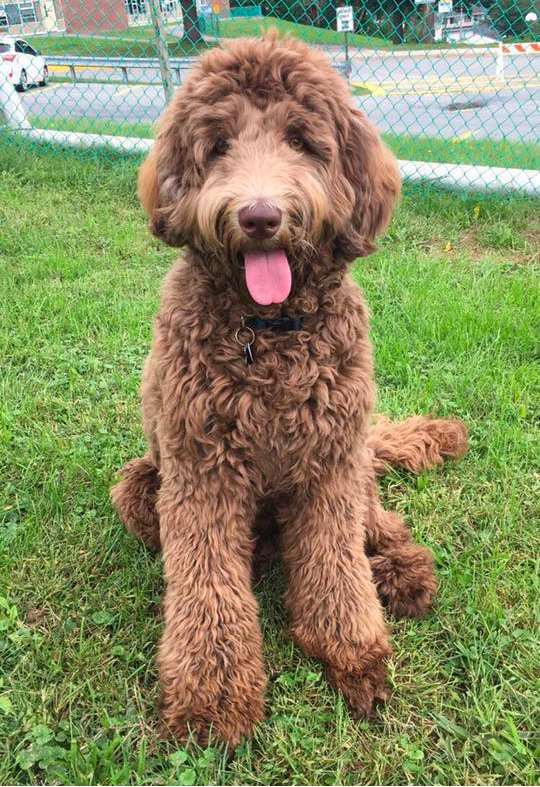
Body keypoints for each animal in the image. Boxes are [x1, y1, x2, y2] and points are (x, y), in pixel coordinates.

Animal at [110, 35, 468, 752]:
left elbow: (337, 564)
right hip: (140, 487)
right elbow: (208, 586)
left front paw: (353, 656)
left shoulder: (328, 465)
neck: (268, 332)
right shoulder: (201, 472)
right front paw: (213, 699)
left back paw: (401, 569)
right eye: (217, 145)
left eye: (302, 141)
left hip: (356, 459)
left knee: (377, 524)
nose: (259, 216)